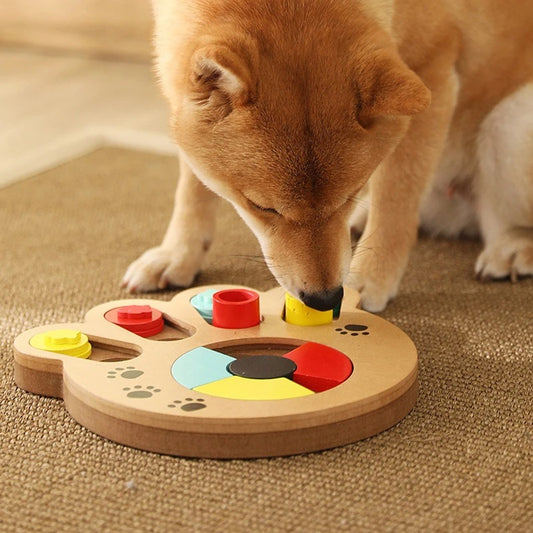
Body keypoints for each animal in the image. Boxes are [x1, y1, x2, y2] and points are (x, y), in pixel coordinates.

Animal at [121, 1, 532, 312]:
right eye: (262, 208)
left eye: (351, 192)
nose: (324, 299)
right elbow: (193, 190)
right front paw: (178, 254)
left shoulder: (431, 70)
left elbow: (396, 202)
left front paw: (368, 279)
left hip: (506, 125)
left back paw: (513, 248)